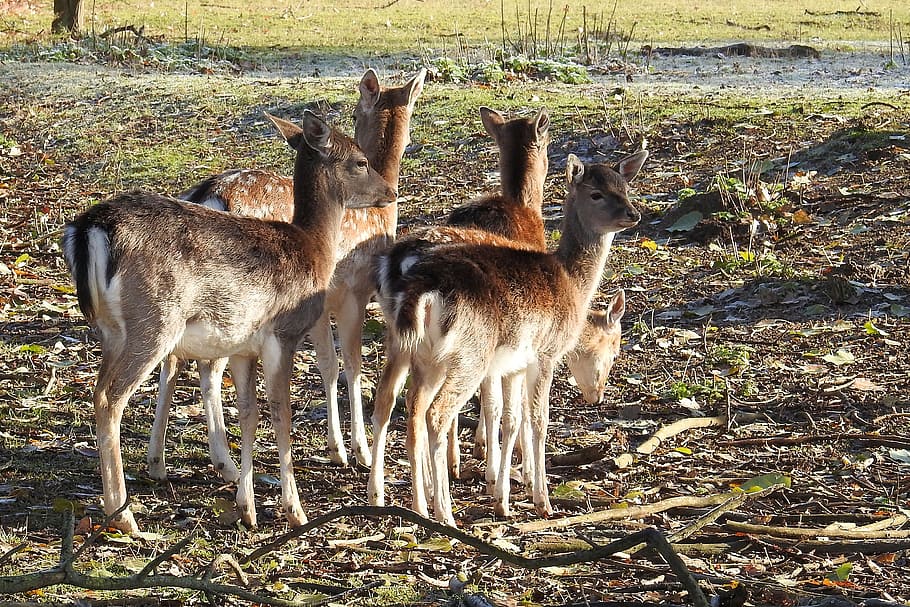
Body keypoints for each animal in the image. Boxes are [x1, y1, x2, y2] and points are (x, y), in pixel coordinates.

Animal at [62, 111, 397, 534]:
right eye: (360, 161)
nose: (390, 191)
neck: (313, 249)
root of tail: (87, 228)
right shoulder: (282, 334)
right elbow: (282, 414)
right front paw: (294, 509)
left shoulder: (243, 347)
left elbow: (249, 414)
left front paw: (247, 507)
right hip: (153, 321)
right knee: (110, 398)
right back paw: (123, 516)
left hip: (111, 331)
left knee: (102, 389)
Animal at [146, 68, 426, 484]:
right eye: (355, 115)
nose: (388, 193)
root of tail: (206, 193)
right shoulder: (353, 290)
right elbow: (351, 364)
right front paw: (355, 450)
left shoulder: (318, 301)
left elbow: (328, 364)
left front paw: (337, 447)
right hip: (236, 302)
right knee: (207, 367)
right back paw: (225, 463)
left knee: (173, 358)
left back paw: (158, 460)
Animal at [370, 151, 646, 525]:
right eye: (596, 194)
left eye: (626, 187)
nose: (633, 214)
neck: (573, 285)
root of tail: (418, 288)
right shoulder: (543, 353)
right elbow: (536, 419)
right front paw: (537, 498)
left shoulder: (512, 364)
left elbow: (511, 416)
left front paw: (504, 492)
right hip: (469, 354)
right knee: (436, 413)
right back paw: (445, 511)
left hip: (418, 351)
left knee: (398, 403)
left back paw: (406, 501)